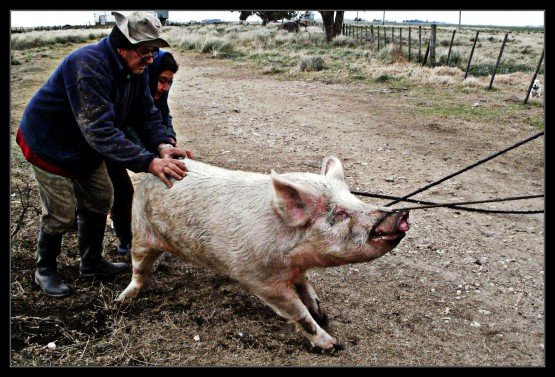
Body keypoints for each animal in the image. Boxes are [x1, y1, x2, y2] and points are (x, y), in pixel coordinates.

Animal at [117, 155, 410, 350]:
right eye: (339, 213)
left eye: (356, 199)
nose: (401, 215)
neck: (293, 255)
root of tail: (151, 174)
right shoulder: (259, 279)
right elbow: (297, 311)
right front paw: (332, 345)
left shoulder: (295, 269)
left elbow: (307, 287)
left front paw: (323, 315)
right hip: (140, 231)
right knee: (139, 269)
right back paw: (123, 299)